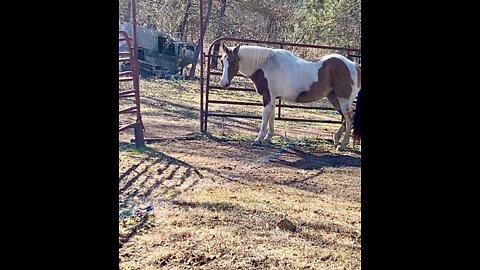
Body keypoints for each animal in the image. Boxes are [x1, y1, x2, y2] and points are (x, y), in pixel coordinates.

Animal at [219, 43, 362, 151]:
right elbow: (271, 117)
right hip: (334, 98)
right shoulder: (273, 97)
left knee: (349, 119)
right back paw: (336, 139)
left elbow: (265, 118)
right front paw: (268, 138)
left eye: (233, 61)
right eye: (222, 61)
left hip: (343, 100)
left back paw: (342, 145)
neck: (266, 64)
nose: (223, 83)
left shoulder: (268, 96)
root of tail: (354, 66)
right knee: (347, 119)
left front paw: (258, 139)